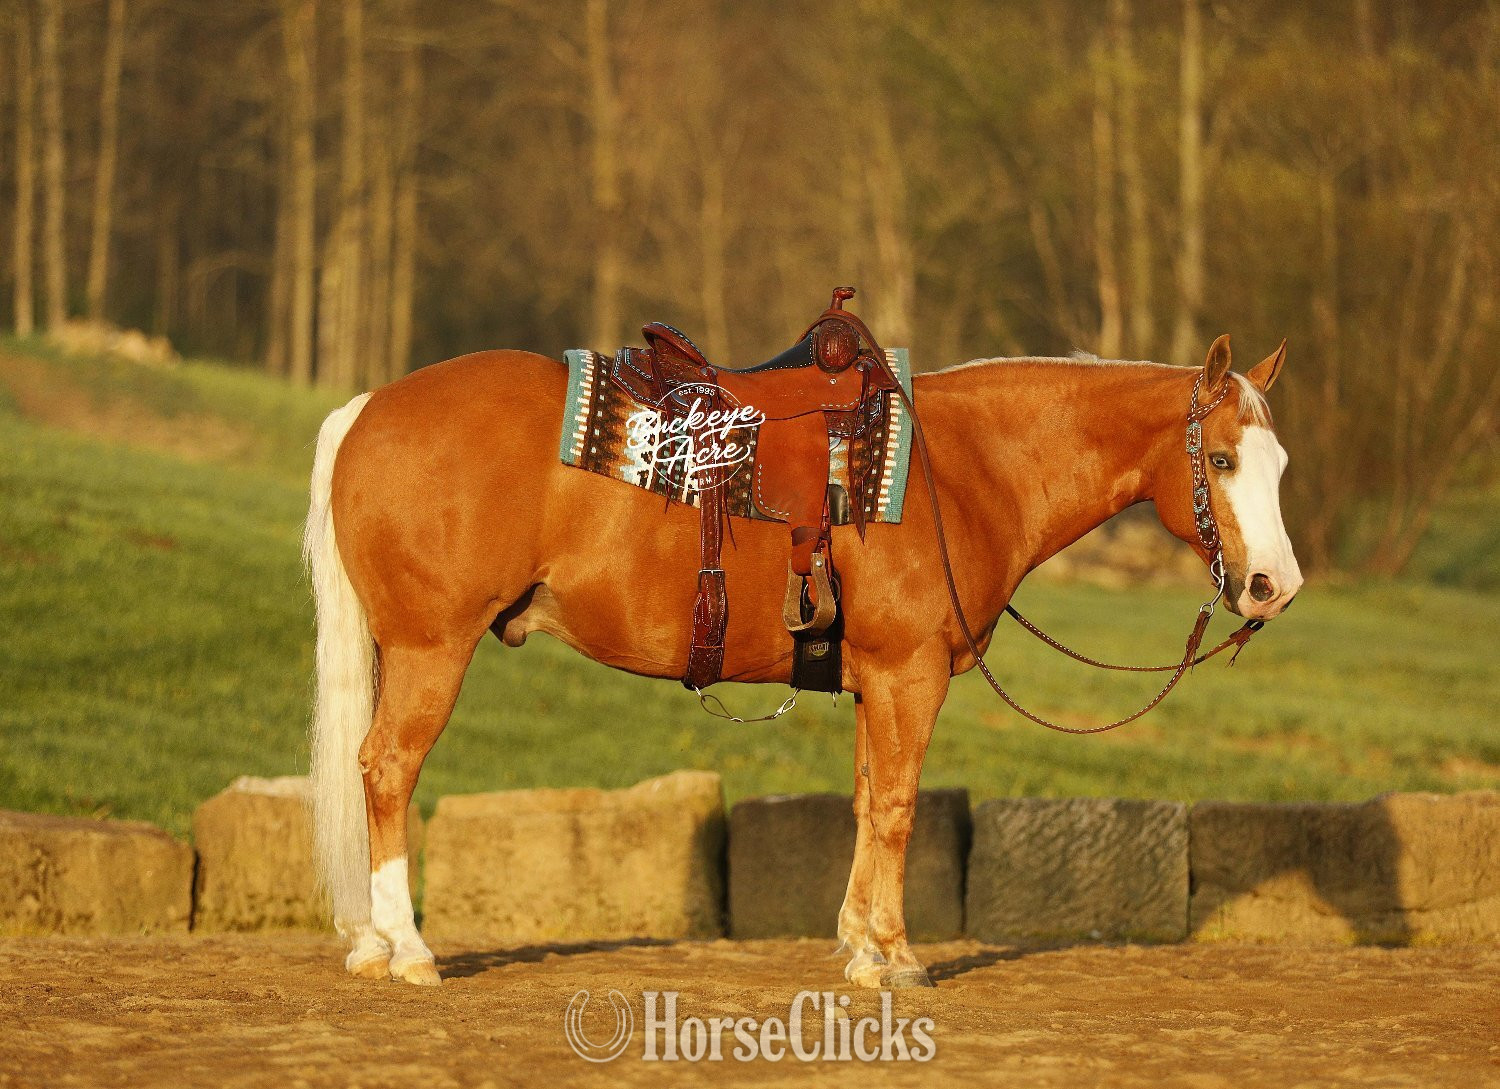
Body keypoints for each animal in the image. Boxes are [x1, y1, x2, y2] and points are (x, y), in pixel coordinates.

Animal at [301, 330, 1302, 988]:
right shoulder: (909, 673)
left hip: (399, 650)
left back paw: (372, 941)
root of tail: (368, 407)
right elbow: (897, 808)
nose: (1273, 586)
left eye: (1281, 463)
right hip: (433, 648)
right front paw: (896, 956)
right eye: (1220, 459)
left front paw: (858, 944)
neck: (964, 469)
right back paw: (407, 948)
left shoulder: (874, 682)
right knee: (389, 767)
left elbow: (866, 803)